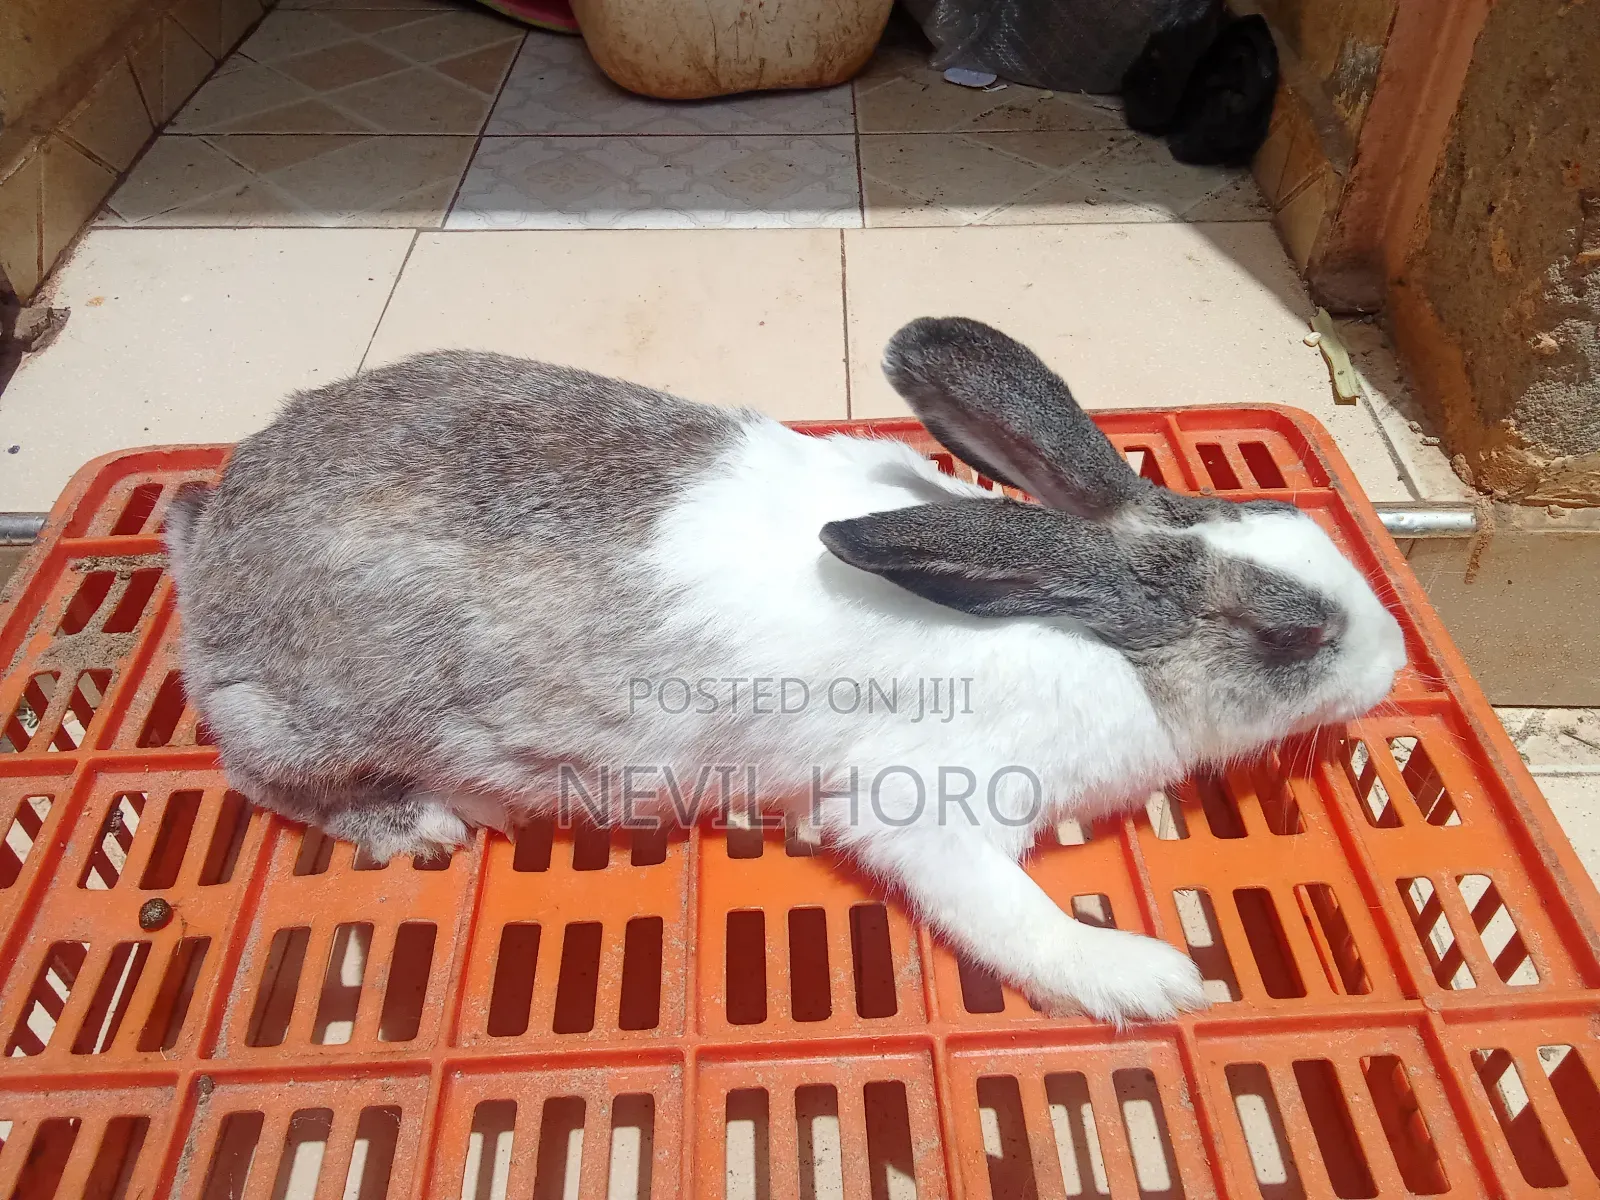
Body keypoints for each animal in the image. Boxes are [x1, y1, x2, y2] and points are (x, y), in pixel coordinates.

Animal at [164, 317, 1406, 1025]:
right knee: (259, 770)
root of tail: (210, 542)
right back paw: (412, 821)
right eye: (1292, 639)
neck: (1089, 622)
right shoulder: (922, 806)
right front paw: (1151, 981)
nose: (1395, 662)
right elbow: (1006, 913)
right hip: (313, 714)